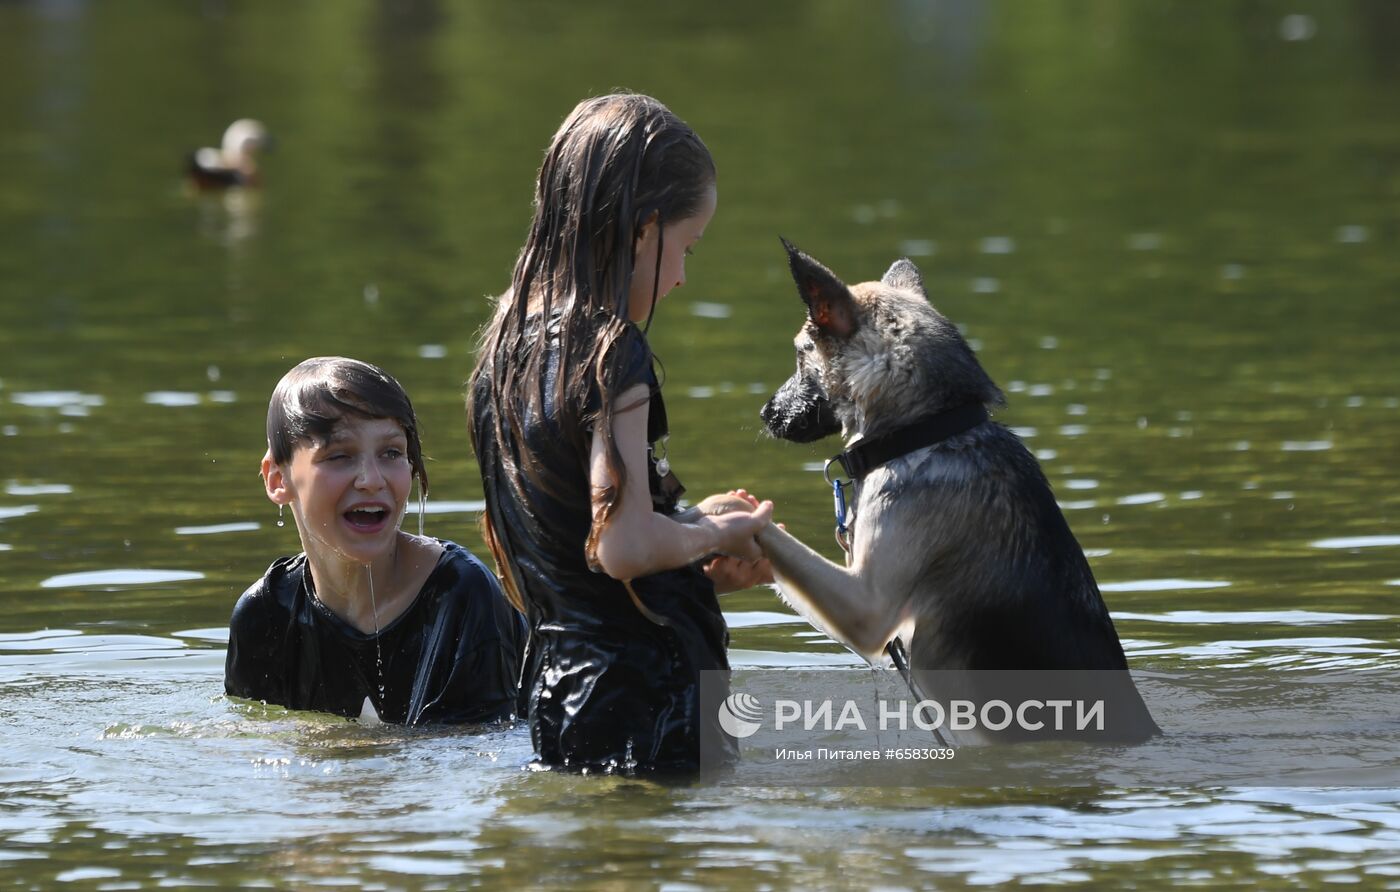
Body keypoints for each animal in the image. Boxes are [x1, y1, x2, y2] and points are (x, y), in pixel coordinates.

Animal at [711, 239, 1159, 739]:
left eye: (799, 353)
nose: (766, 413)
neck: (929, 428)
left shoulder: (866, 608)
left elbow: (783, 546)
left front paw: (724, 512)